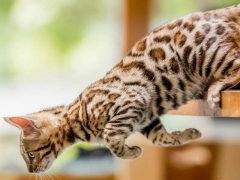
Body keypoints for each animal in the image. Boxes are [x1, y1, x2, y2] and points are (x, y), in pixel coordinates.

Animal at [4, 4, 240, 173]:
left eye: (30, 155)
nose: (31, 171)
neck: (75, 117)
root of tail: (219, 10)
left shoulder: (131, 100)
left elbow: (111, 137)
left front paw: (129, 152)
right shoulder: (147, 116)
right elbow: (160, 138)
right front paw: (184, 135)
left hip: (202, 55)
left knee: (237, 64)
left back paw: (215, 87)